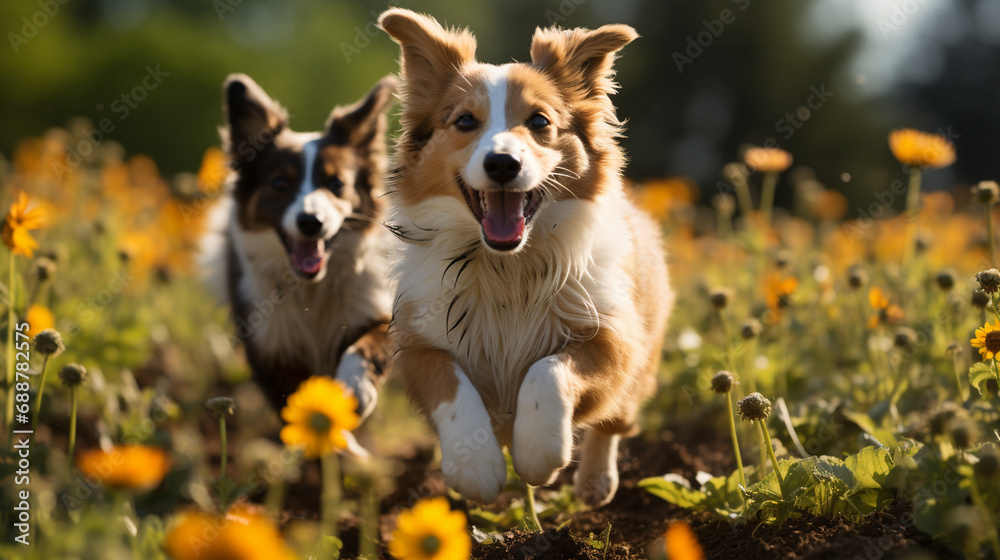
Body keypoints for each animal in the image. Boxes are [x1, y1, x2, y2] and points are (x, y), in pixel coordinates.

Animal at [217, 73, 396, 416]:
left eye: (337, 184)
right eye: (279, 184)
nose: (311, 222)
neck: (313, 288)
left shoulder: (378, 308)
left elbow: (369, 342)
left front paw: (354, 386)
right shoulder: (270, 347)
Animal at [378, 9, 676, 508]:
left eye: (539, 121)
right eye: (465, 121)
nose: (502, 164)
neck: (507, 267)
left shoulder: (613, 335)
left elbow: (548, 370)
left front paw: (538, 451)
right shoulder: (419, 341)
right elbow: (448, 385)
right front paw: (475, 465)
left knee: (614, 423)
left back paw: (595, 482)